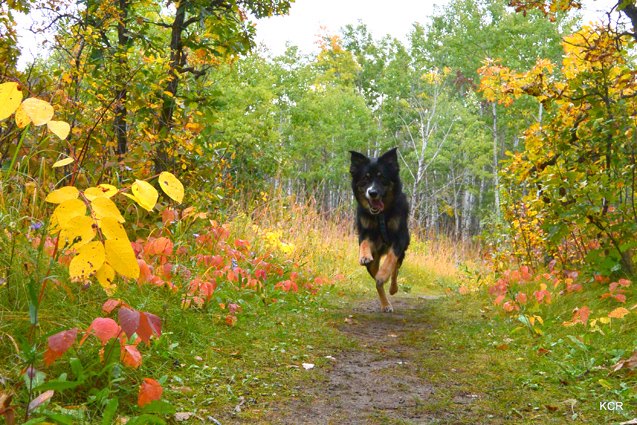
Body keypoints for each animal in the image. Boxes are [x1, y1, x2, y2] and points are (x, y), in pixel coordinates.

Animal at [350, 147, 410, 312]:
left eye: (381, 177)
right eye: (365, 178)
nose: (372, 193)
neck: (381, 216)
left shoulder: (399, 238)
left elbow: (391, 259)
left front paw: (384, 274)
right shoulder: (366, 233)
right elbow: (364, 243)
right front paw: (364, 256)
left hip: (402, 252)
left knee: (395, 269)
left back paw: (392, 287)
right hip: (373, 263)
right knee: (377, 283)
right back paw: (385, 304)